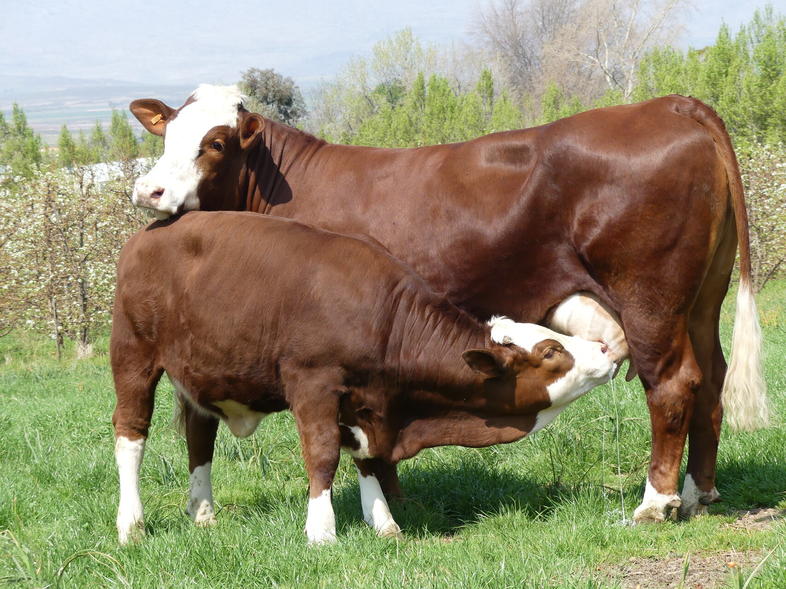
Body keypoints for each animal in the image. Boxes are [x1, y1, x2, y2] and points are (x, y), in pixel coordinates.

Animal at [111, 211, 616, 544]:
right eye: (551, 350)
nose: (605, 349)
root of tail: (151, 233)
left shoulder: (366, 399)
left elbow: (366, 457)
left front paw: (384, 523)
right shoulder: (313, 383)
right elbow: (323, 455)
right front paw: (322, 531)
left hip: (201, 374)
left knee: (200, 436)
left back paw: (203, 512)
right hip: (133, 354)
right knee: (130, 434)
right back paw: (131, 524)